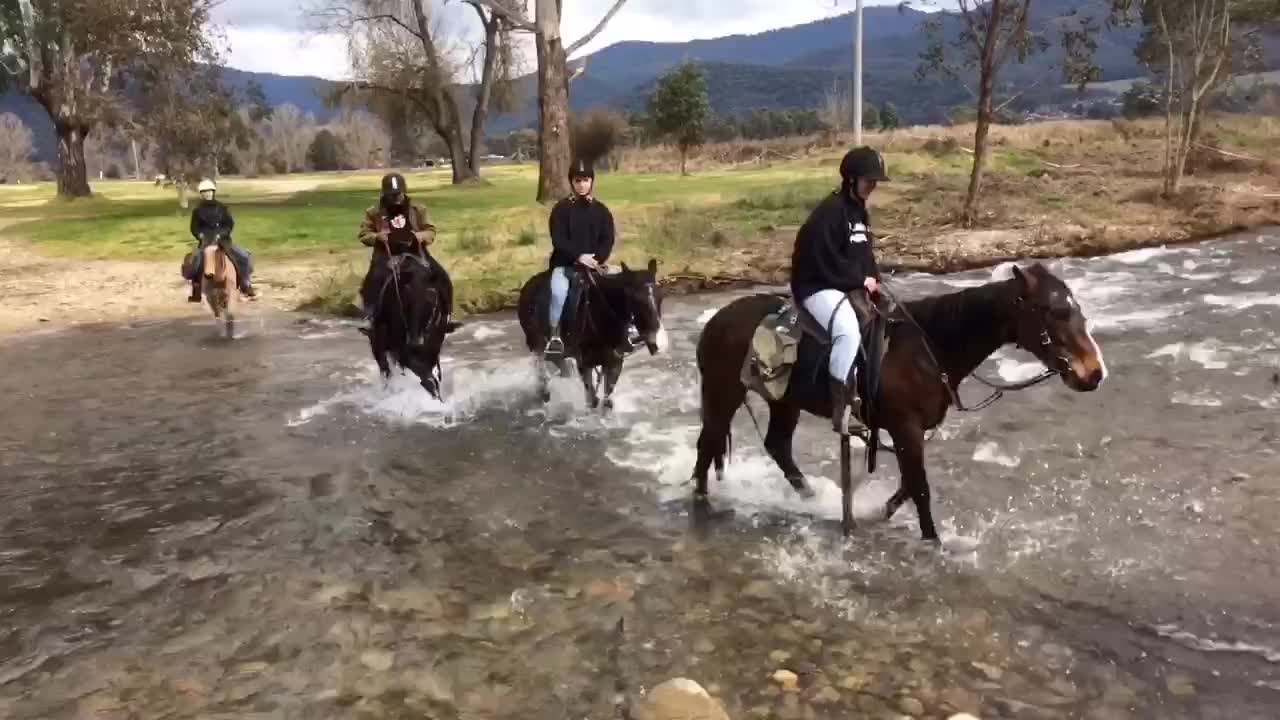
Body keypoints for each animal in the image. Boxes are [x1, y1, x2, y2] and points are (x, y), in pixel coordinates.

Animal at [514, 258, 670, 409]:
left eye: (661, 296)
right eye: (634, 299)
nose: (659, 344)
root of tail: (527, 286)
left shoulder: (614, 363)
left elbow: (607, 401)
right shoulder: (584, 364)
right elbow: (592, 401)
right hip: (536, 346)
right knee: (542, 372)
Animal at [696, 262, 1105, 538]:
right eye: (1055, 311)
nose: (1094, 372)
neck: (928, 347)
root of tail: (715, 321)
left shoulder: (910, 433)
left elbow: (909, 484)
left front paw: (875, 514)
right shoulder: (905, 428)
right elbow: (920, 488)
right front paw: (933, 541)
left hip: (785, 402)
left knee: (777, 446)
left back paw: (811, 500)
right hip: (723, 393)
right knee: (708, 444)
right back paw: (701, 500)